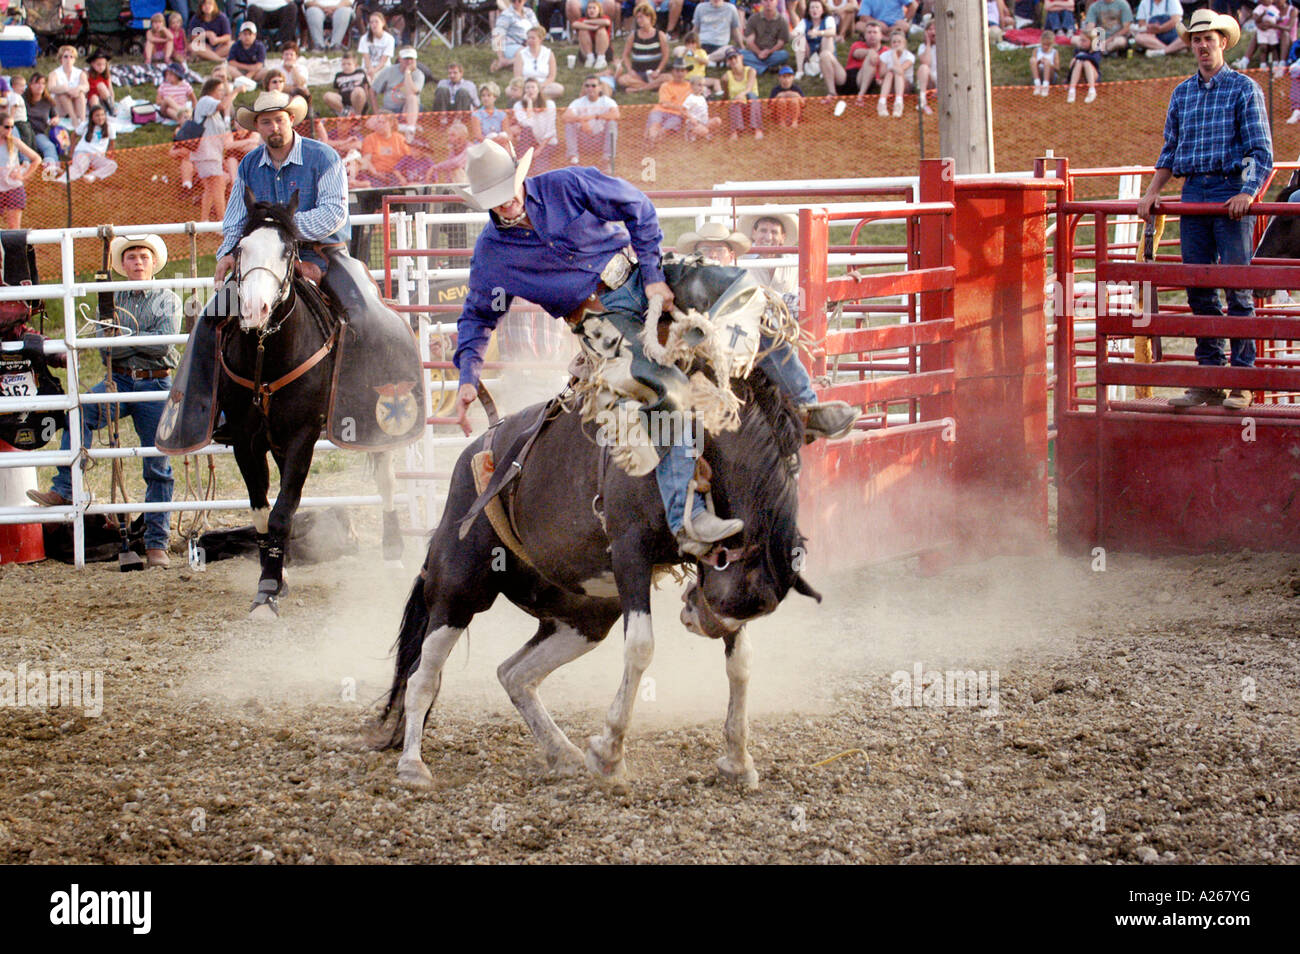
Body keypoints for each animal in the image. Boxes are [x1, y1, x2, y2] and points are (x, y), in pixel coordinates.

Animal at [218, 191, 403, 616]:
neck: (266, 355)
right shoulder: (244, 440)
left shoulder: (302, 436)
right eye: (240, 248)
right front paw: (274, 577)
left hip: (377, 430)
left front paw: (268, 590)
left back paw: (394, 556)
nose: (254, 309)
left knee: (386, 481)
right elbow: (262, 513)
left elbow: (283, 512)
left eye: (288, 251)